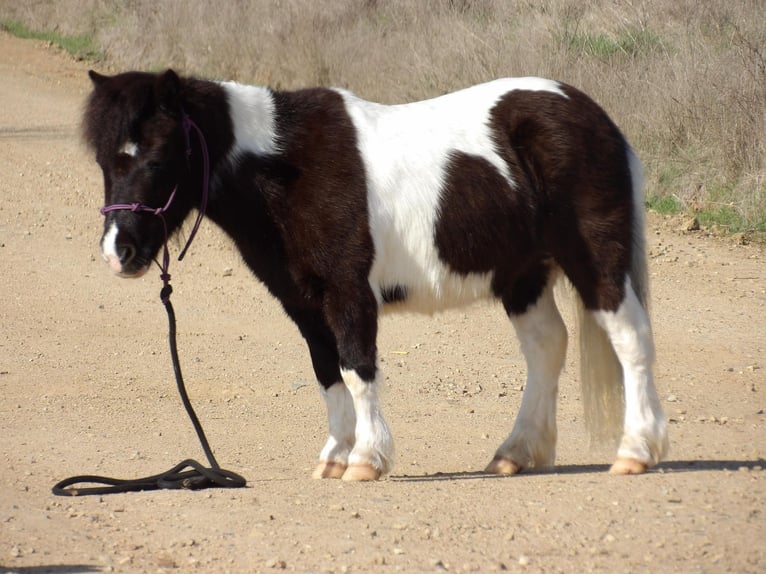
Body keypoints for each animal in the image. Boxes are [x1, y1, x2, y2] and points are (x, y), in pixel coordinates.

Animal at [83, 69, 668, 481]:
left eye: (159, 157)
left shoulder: (348, 293)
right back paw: (515, 454)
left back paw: (636, 451)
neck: (286, 168)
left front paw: (366, 459)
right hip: (521, 274)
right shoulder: (304, 304)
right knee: (547, 346)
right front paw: (333, 458)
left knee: (631, 340)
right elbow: (327, 374)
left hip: (595, 259)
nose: (119, 252)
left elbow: (357, 370)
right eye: (105, 162)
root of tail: (594, 116)